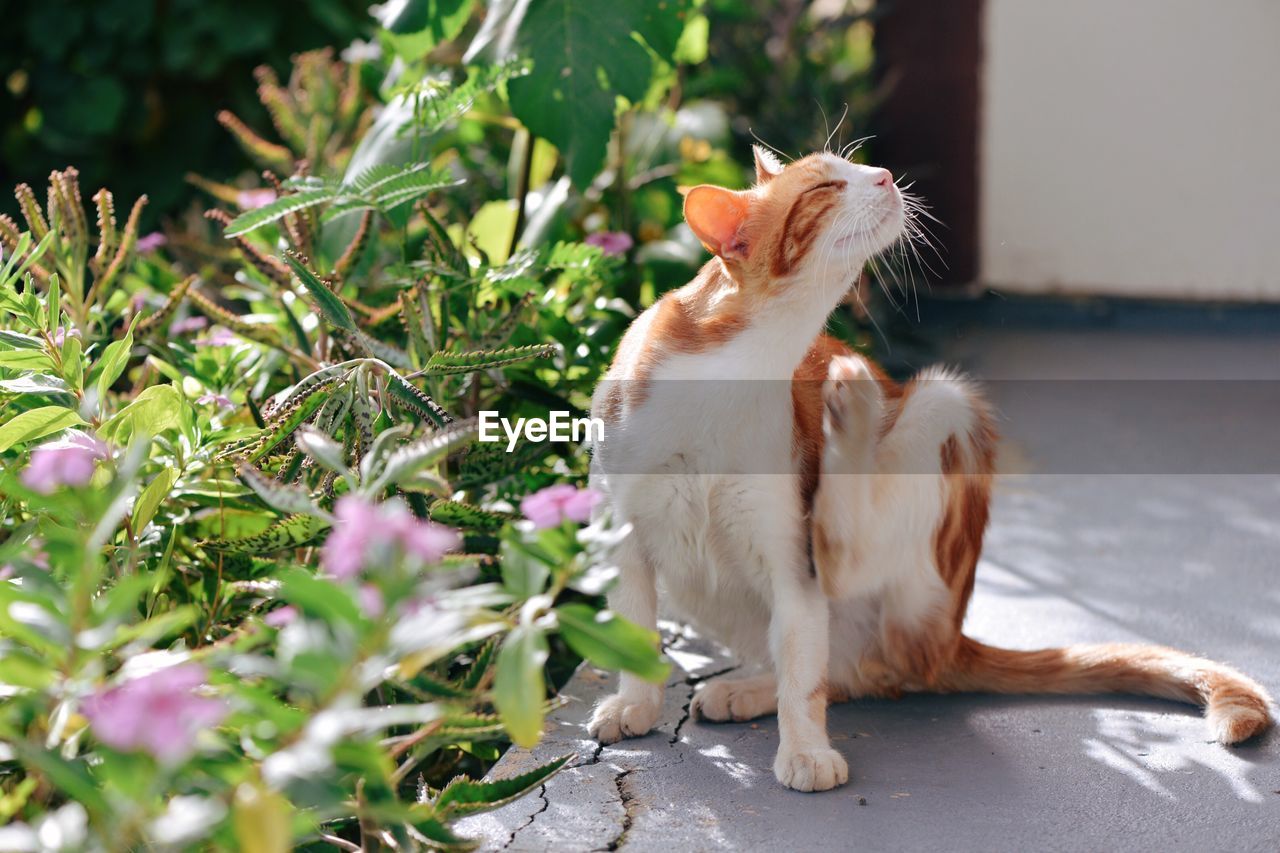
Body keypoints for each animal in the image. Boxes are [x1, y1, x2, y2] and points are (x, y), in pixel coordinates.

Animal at [586, 146, 1269, 788]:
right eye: (825, 186)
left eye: (852, 166)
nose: (885, 174)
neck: (738, 371)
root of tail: (948, 643)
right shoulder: (621, 536)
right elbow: (636, 626)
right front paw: (635, 702)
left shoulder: (789, 555)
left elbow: (804, 666)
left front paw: (804, 749)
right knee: (839, 666)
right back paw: (751, 685)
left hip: (944, 417)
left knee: (842, 586)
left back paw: (853, 415)